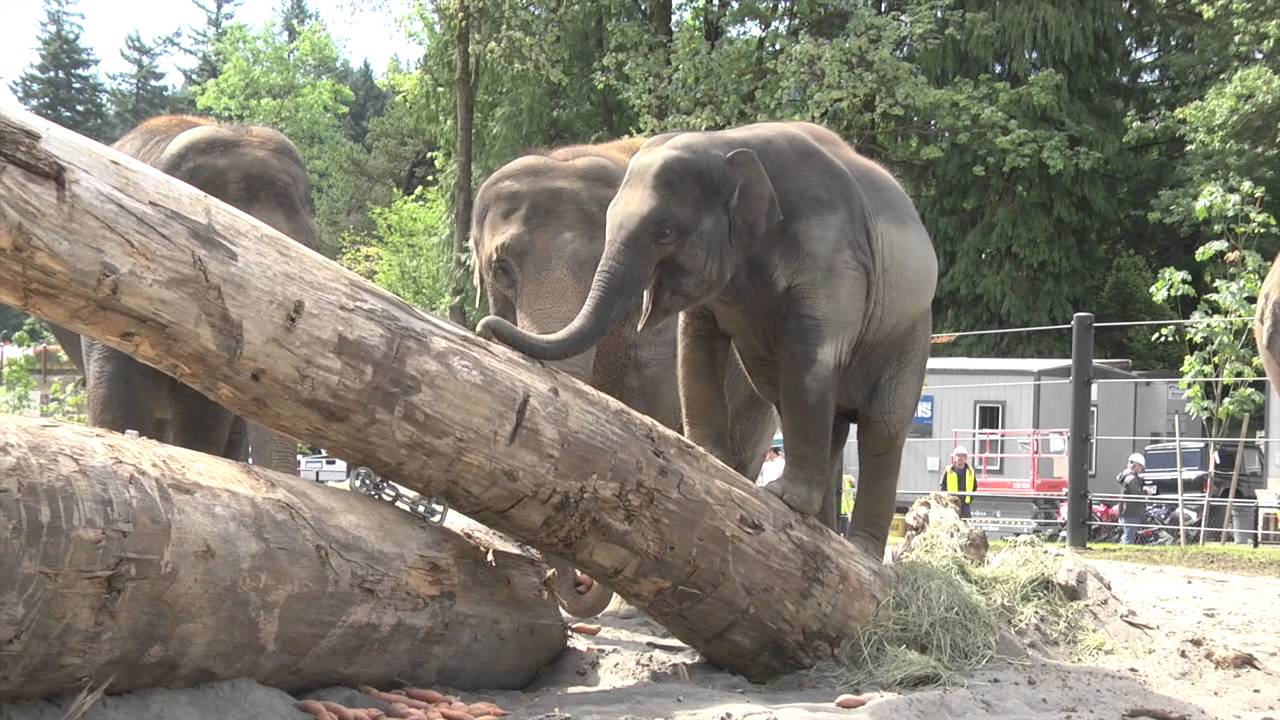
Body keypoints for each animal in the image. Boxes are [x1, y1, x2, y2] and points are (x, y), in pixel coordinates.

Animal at [477, 121, 937, 556]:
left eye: (664, 232)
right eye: (501, 270)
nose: (485, 327)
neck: (722, 144)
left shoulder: (830, 255)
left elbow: (809, 358)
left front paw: (784, 499)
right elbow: (697, 343)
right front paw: (707, 461)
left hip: (911, 330)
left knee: (880, 425)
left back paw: (855, 548)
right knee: (830, 423)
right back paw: (823, 534)